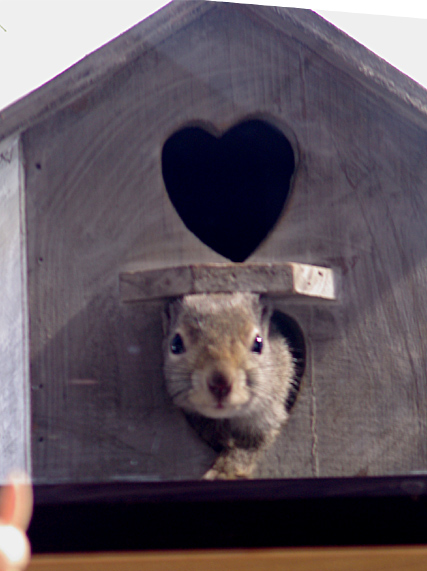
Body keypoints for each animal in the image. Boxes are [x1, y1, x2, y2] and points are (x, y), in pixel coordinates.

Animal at [162, 292, 302, 480]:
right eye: (175, 344)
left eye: (258, 343)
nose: (220, 384)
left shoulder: (267, 418)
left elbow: (249, 448)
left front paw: (223, 471)